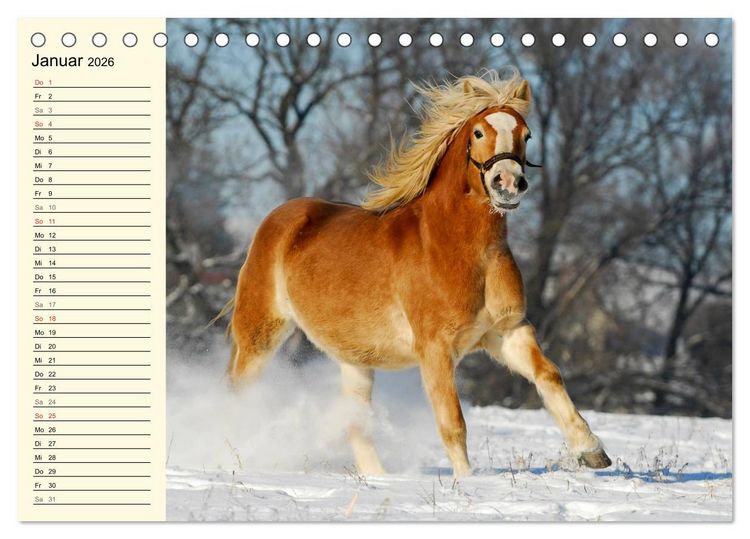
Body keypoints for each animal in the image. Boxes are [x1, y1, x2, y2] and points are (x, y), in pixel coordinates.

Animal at [220, 68, 612, 477]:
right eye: (478, 132)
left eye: (527, 134)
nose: (508, 183)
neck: (462, 250)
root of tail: (277, 219)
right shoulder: (435, 348)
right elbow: (452, 422)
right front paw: (467, 482)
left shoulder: (508, 332)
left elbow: (548, 374)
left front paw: (592, 451)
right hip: (261, 333)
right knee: (238, 392)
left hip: (355, 359)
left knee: (357, 424)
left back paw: (378, 478)